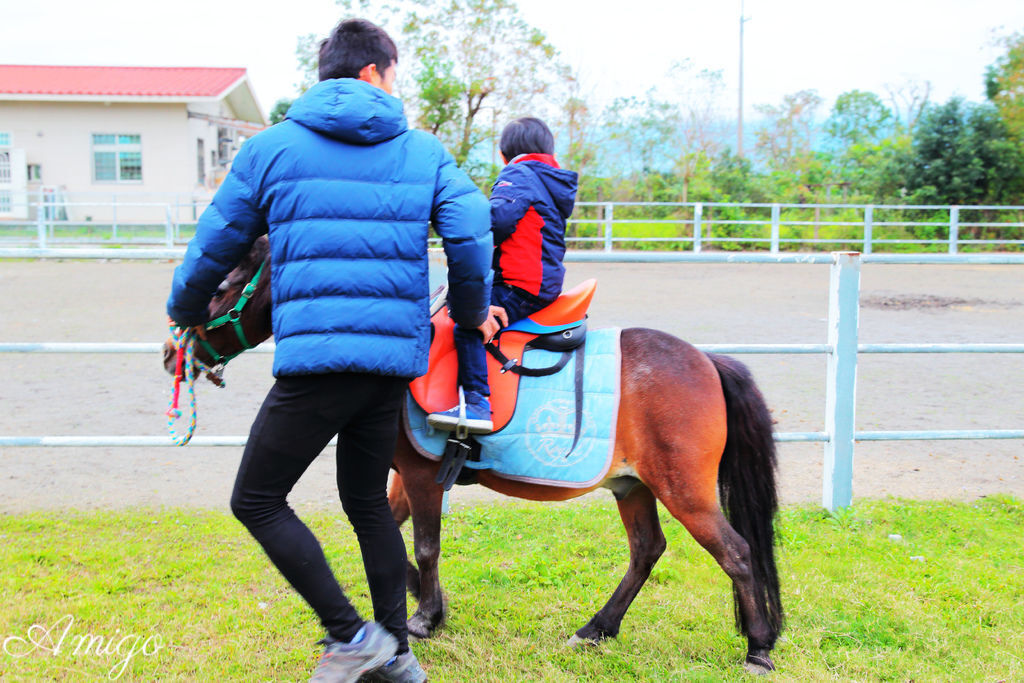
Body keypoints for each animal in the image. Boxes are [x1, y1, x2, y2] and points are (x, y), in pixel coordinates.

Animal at [161, 239, 782, 671]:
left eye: (224, 283)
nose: (171, 351)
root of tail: (706, 361)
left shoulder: (421, 475)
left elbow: (424, 545)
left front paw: (423, 619)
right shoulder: (400, 477)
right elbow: (390, 538)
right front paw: (423, 605)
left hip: (685, 491)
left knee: (736, 553)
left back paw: (757, 647)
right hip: (633, 486)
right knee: (647, 550)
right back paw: (597, 629)